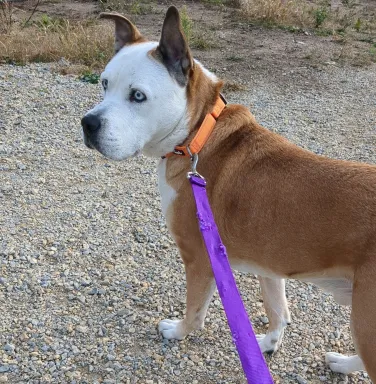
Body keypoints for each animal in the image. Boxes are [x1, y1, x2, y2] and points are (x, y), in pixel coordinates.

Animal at [81, 6, 376, 380]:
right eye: (104, 83)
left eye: (138, 96)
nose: (88, 124)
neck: (199, 134)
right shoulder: (269, 266)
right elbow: (279, 312)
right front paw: (266, 345)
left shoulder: (199, 258)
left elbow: (194, 311)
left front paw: (178, 332)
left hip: (365, 320)